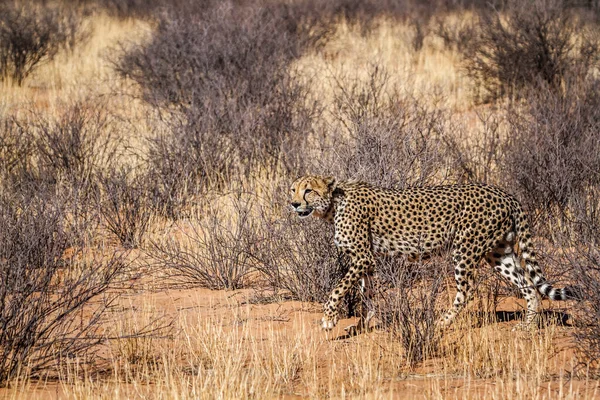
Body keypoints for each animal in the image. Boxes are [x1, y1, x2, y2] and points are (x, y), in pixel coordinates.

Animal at [290, 177, 580, 332]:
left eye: (309, 190)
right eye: (293, 189)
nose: (293, 203)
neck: (333, 204)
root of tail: (505, 194)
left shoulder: (362, 257)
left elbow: (337, 289)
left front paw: (329, 319)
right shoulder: (367, 261)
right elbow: (367, 294)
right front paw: (362, 325)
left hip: (464, 248)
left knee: (468, 290)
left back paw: (443, 321)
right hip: (498, 253)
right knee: (529, 284)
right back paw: (528, 325)